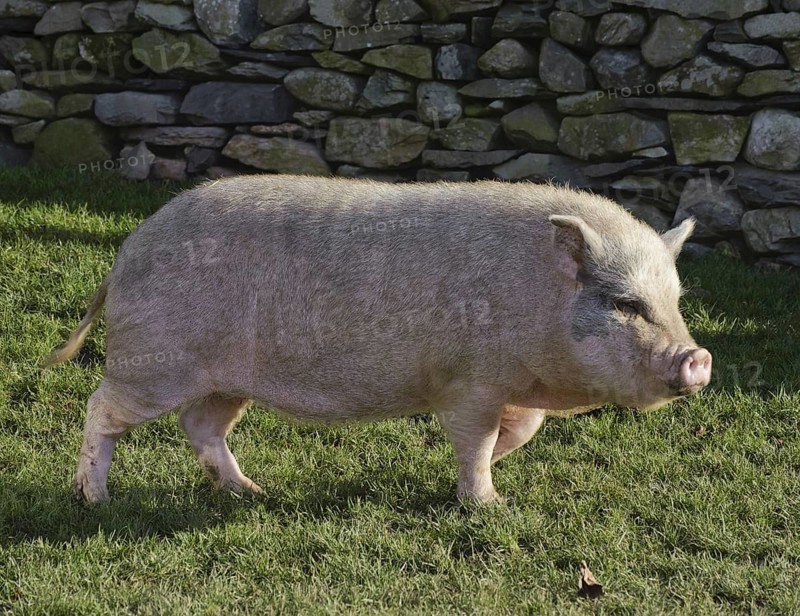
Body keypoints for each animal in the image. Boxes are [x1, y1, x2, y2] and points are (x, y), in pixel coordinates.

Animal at [43, 175, 712, 505]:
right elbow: (476, 439)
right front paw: (489, 504)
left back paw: (252, 491)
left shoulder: (512, 386)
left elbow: (519, 432)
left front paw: (473, 475)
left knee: (201, 426)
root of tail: (128, 249)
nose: (699, 357)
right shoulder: (469, 381)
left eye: (676, 302)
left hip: (225, 377)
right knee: (101, 408)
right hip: (153, 359)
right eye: (626, 304)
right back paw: (95, 500)